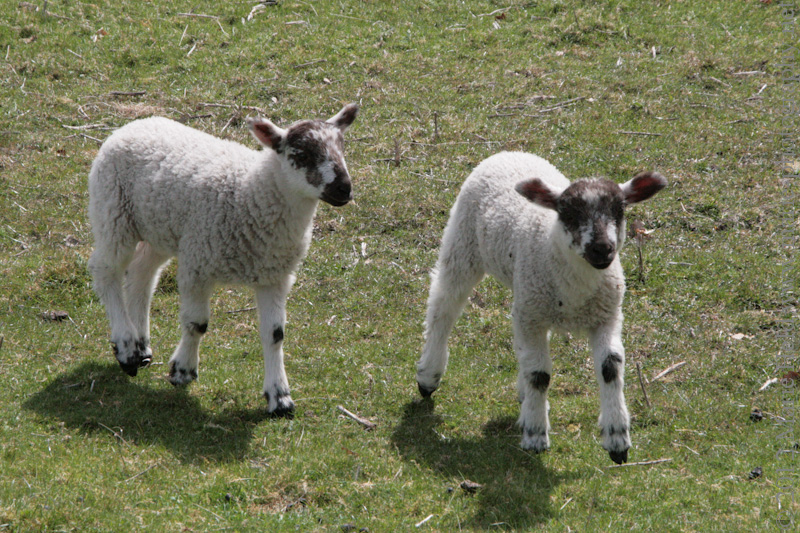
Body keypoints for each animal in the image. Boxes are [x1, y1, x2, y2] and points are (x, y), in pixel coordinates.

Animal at [87, 103, 359, 415]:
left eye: (342, 147)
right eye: (301, 155)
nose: (344, 188)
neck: (251, 193)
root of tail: (134, 125)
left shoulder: (274, 276)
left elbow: (275, 334)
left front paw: (279, 397)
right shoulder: (198, 263)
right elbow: (197, 324)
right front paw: (182, 371)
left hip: (162, 228)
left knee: (142, 274)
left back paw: (141, 346)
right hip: (113, 210)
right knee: (105, 270)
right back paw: (127, 346)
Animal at [415, 151, 666, 464]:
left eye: (619, 209)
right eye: (567, 212)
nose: (602, 248)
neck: (575, 289)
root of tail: (510, 152)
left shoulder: (606, 315)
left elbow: (610, 367)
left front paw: (617, 440)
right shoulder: (533, 316)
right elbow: (540, 374)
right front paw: (535, 435)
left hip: (526, 295)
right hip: (464, 243)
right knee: (443, 306)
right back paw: (428, 374)